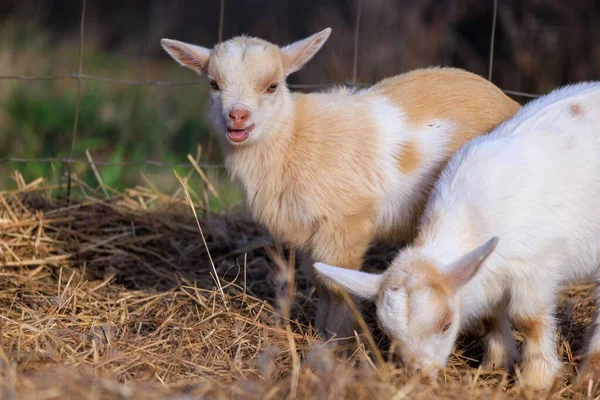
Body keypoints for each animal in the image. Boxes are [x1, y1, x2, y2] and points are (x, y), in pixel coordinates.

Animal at [161, 27, 520, 338]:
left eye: (272, 86)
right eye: (213, 84)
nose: (237, 116)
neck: (292, 137)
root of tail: (509, 100)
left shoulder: (346, 224)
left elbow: (338, 287)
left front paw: (341, 339)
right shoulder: (310, 231)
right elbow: (321, 282)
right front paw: (321, 332)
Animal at [316, 82, 600, 388]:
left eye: (446, 325)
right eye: (388, 333)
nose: (420, 375)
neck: (470, 218)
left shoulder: (535, 268)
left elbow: (529, 319)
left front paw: (537, 381)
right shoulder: (487, 274)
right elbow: (490, 315)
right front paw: (495, 364)